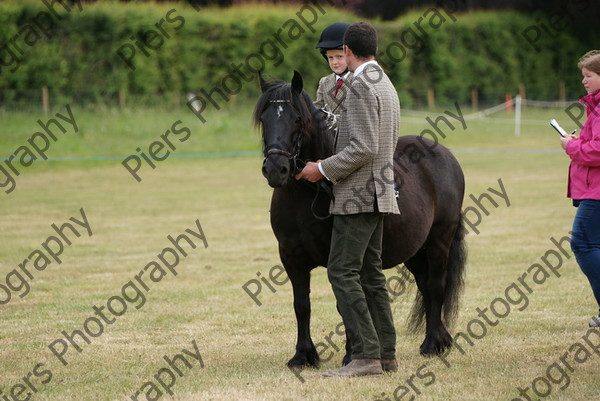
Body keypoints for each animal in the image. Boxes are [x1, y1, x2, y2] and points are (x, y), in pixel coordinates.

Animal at [253, 71, 468, 366]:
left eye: (296, 118)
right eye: (264, 119)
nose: (276, 169)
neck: (307, 195)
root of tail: (445, 155)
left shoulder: (338, 256)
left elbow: (343, 303)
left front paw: (350, 354)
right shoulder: (291, 257)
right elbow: (302, 305)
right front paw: (303, 355)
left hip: (439, 241)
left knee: (436, 286)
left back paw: (432, 344)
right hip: (415, 249)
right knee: (425, 286)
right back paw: (442, 339)